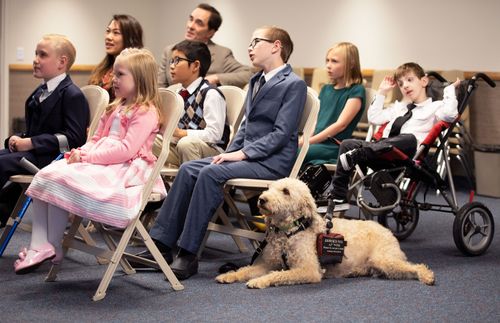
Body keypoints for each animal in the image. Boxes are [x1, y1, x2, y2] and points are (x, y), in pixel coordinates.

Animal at [217, 178, 436, 290]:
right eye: (269, 188)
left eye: (286, 191)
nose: (262, 200)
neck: (289, 231)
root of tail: (387, 230)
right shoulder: (267, 263)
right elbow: (246, 269)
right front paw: (229, 275)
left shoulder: (308, 270)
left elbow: (279, 275)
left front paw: (260, 281)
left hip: (385, 259)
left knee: (415, 266)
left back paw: (426, 275)